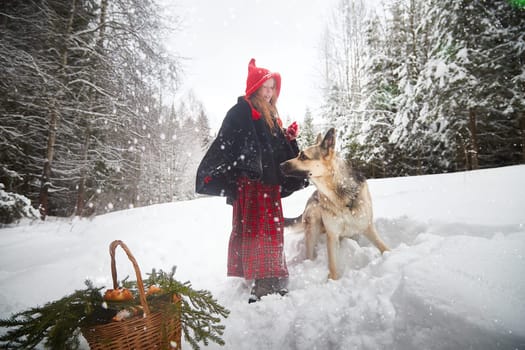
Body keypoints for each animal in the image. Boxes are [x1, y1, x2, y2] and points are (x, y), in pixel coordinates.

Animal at [280, 128, 386, 278]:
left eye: (303, 156)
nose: (280, 165)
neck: (339, 196)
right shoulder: (332, 235)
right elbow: (333, 266)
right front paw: (333, 280)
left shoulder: (367, 226)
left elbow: (383, 247)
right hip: (313, 219)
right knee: (309, 253)